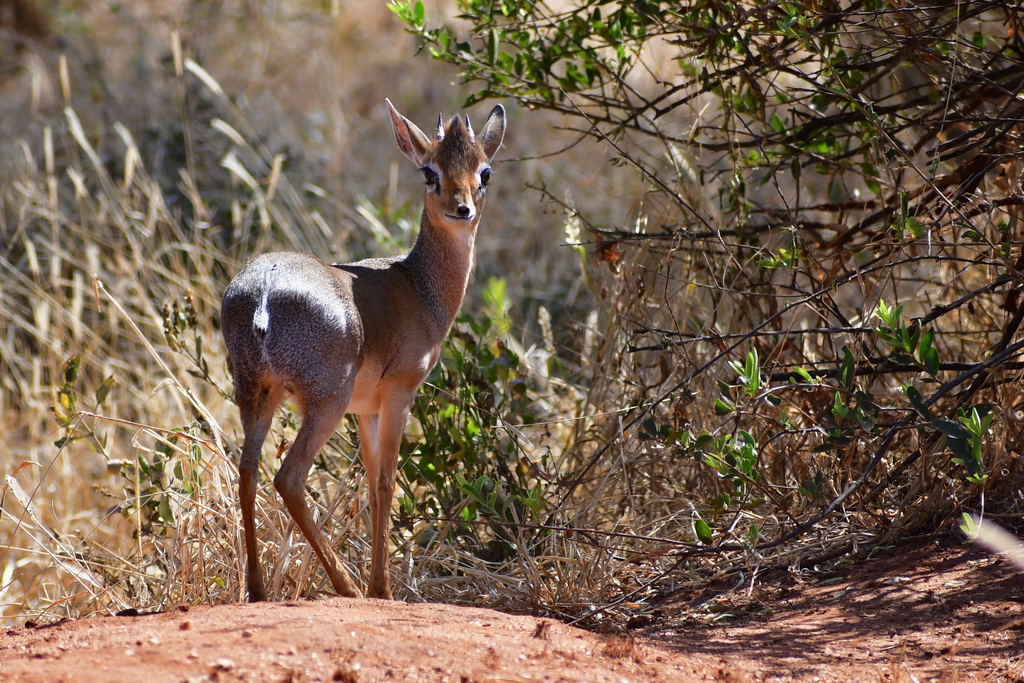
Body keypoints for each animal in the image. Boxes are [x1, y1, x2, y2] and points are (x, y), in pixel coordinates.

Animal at [226, 98, 509, 602]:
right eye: (429, 171)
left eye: (485, 171)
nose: (462, 208)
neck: (418, 287)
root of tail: (263, 289)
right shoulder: (399, 394)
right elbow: (385, 484)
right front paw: (383, 589)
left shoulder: (366, 410)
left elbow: (373, 488)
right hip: (324, 402)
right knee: (288, 477)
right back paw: (348, 587)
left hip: (257, 395)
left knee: (246, 471)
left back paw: (258, 591)